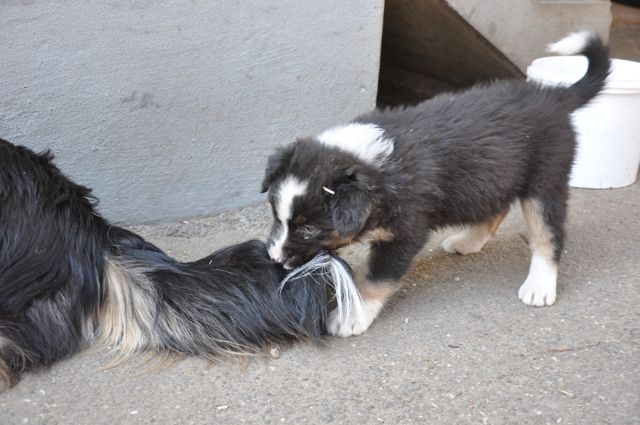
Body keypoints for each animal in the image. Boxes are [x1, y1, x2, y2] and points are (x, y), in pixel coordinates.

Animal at [260, 31, 608, 336]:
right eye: (276, 217)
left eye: (308, 230)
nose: (274, 259)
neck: (373, 165)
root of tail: (554, 95)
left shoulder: (405, 232)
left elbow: (375, 278)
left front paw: (351, 318)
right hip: (493, 175)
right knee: (496, 208)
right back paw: (468, 241)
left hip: (545, 179)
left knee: (548, 233)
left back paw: (539, 286)